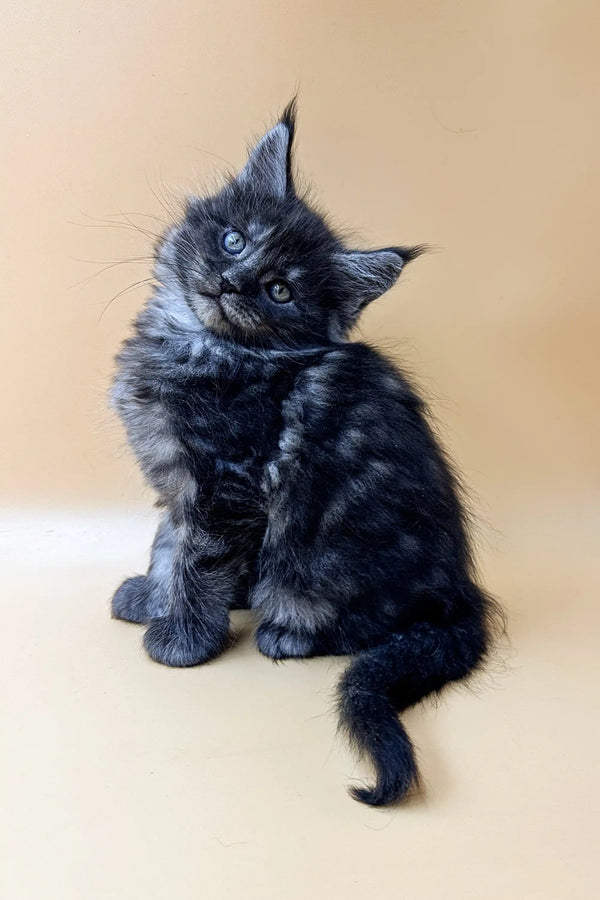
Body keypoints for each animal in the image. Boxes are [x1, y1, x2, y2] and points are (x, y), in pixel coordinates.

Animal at [109, 102, 502, 804]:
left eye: (279, 291)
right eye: (235, 241)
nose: (232, 282)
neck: (198, 345)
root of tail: (463, 592)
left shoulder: (226, 483)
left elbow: (197, 560)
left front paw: (181, 637)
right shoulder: (182, 484)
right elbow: (167, 545)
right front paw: (152, 596)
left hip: (322, 559)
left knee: (363, 623)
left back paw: (284, 632)